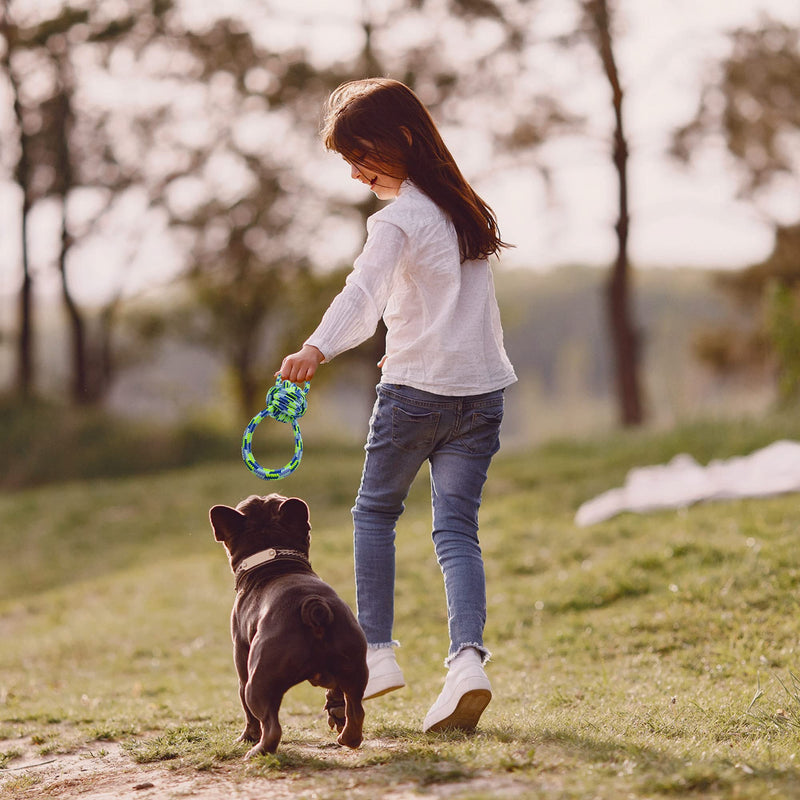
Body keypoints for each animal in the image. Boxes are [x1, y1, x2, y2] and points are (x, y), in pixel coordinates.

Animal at [208, 490, 368, 760]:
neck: (274, 562)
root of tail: (313, 606)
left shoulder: (241, 660)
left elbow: (248, 713)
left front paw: (246, 738)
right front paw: (334, 709)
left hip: (258, 684)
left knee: (270, 725)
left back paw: (257, 751)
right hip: (355, 667)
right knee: (355, 709)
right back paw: (347, 737)